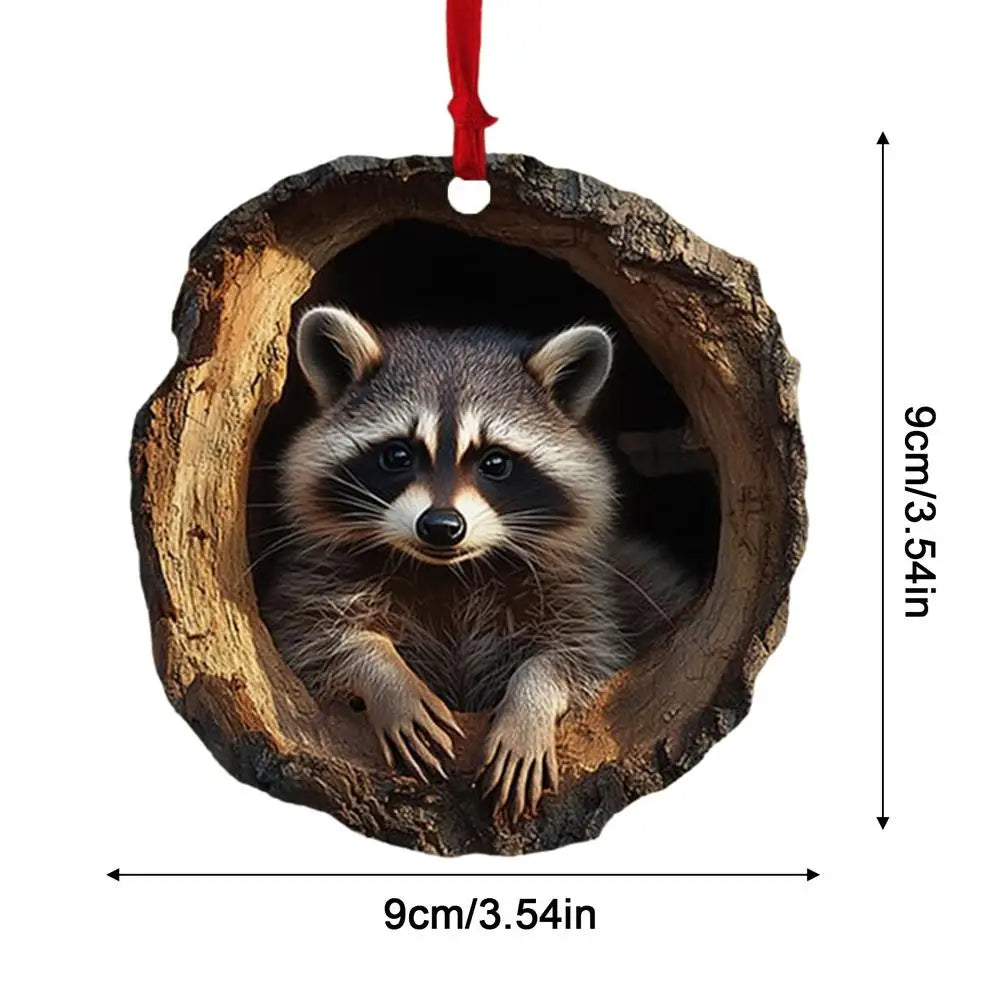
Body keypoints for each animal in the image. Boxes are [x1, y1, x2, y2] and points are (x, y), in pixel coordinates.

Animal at [258, 306, 696, 819]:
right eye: (398, 455)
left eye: (495, 462)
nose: (441, 526)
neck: (450, 570)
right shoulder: (318, 575)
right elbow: (312, 636)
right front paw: (384, 675)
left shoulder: (580, 589)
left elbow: (584, 655)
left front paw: (530, 703)